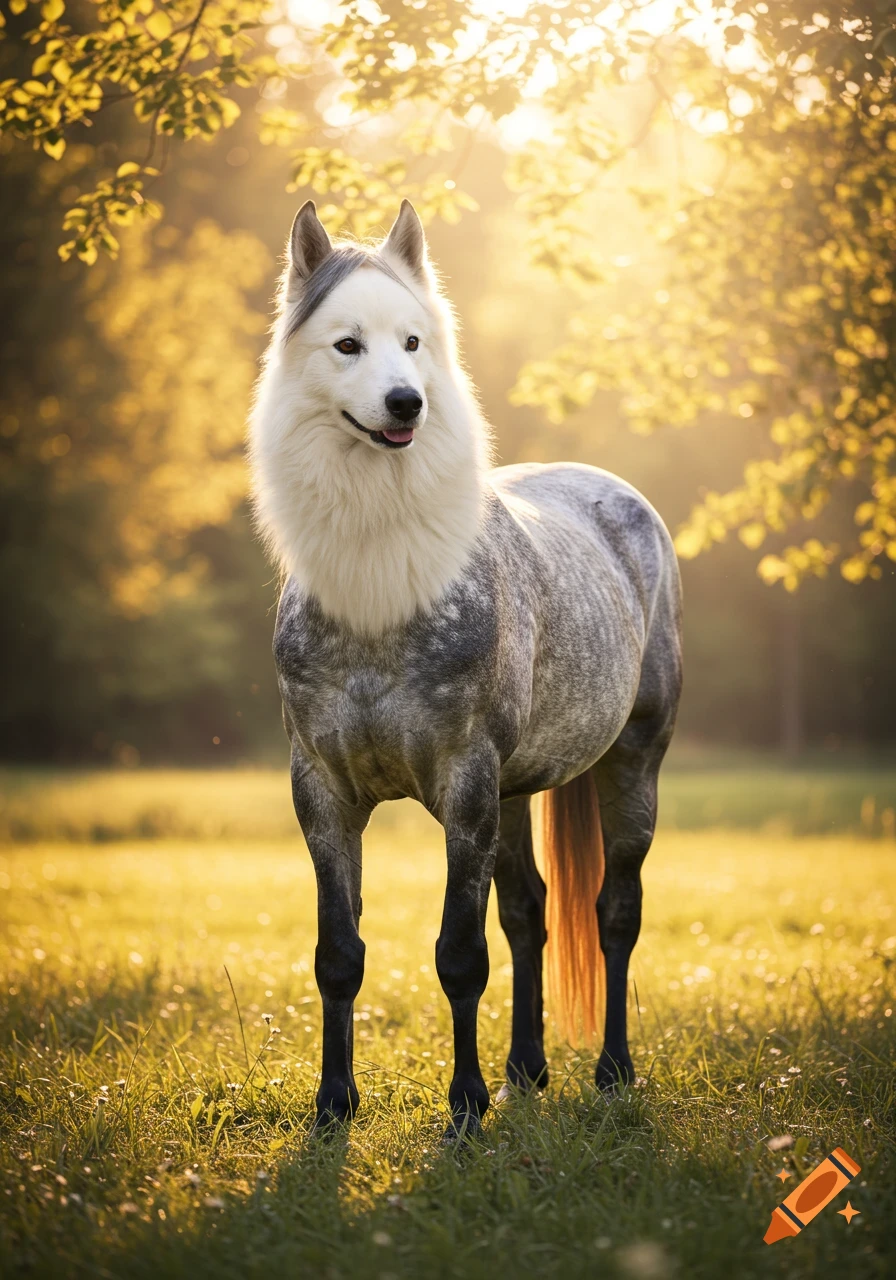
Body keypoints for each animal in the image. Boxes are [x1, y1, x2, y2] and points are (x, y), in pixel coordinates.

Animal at [249, 199, 682, 1137]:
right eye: (346, 344)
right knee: (529, 914)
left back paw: (611, 1072)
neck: (380, 605)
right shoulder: (323, 793)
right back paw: (527, 1069)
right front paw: (333, 1105)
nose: (405, 402)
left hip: (631, 763)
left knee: (615, 914)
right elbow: (339, 955)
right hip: (517, 793)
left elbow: (458, 954)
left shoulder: (464, 786)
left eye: (413, 341)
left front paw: (465, 1108)